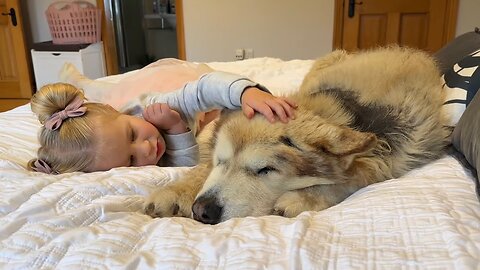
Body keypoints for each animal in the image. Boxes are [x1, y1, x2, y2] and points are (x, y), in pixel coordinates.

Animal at [142, 46, 450, 224]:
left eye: (266, 170)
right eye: (221, 161)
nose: (202, 211)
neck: (347, 110)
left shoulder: (388, 157)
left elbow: (346, 180)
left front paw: (300, 198)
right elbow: (200, 171)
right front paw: (176, 192)